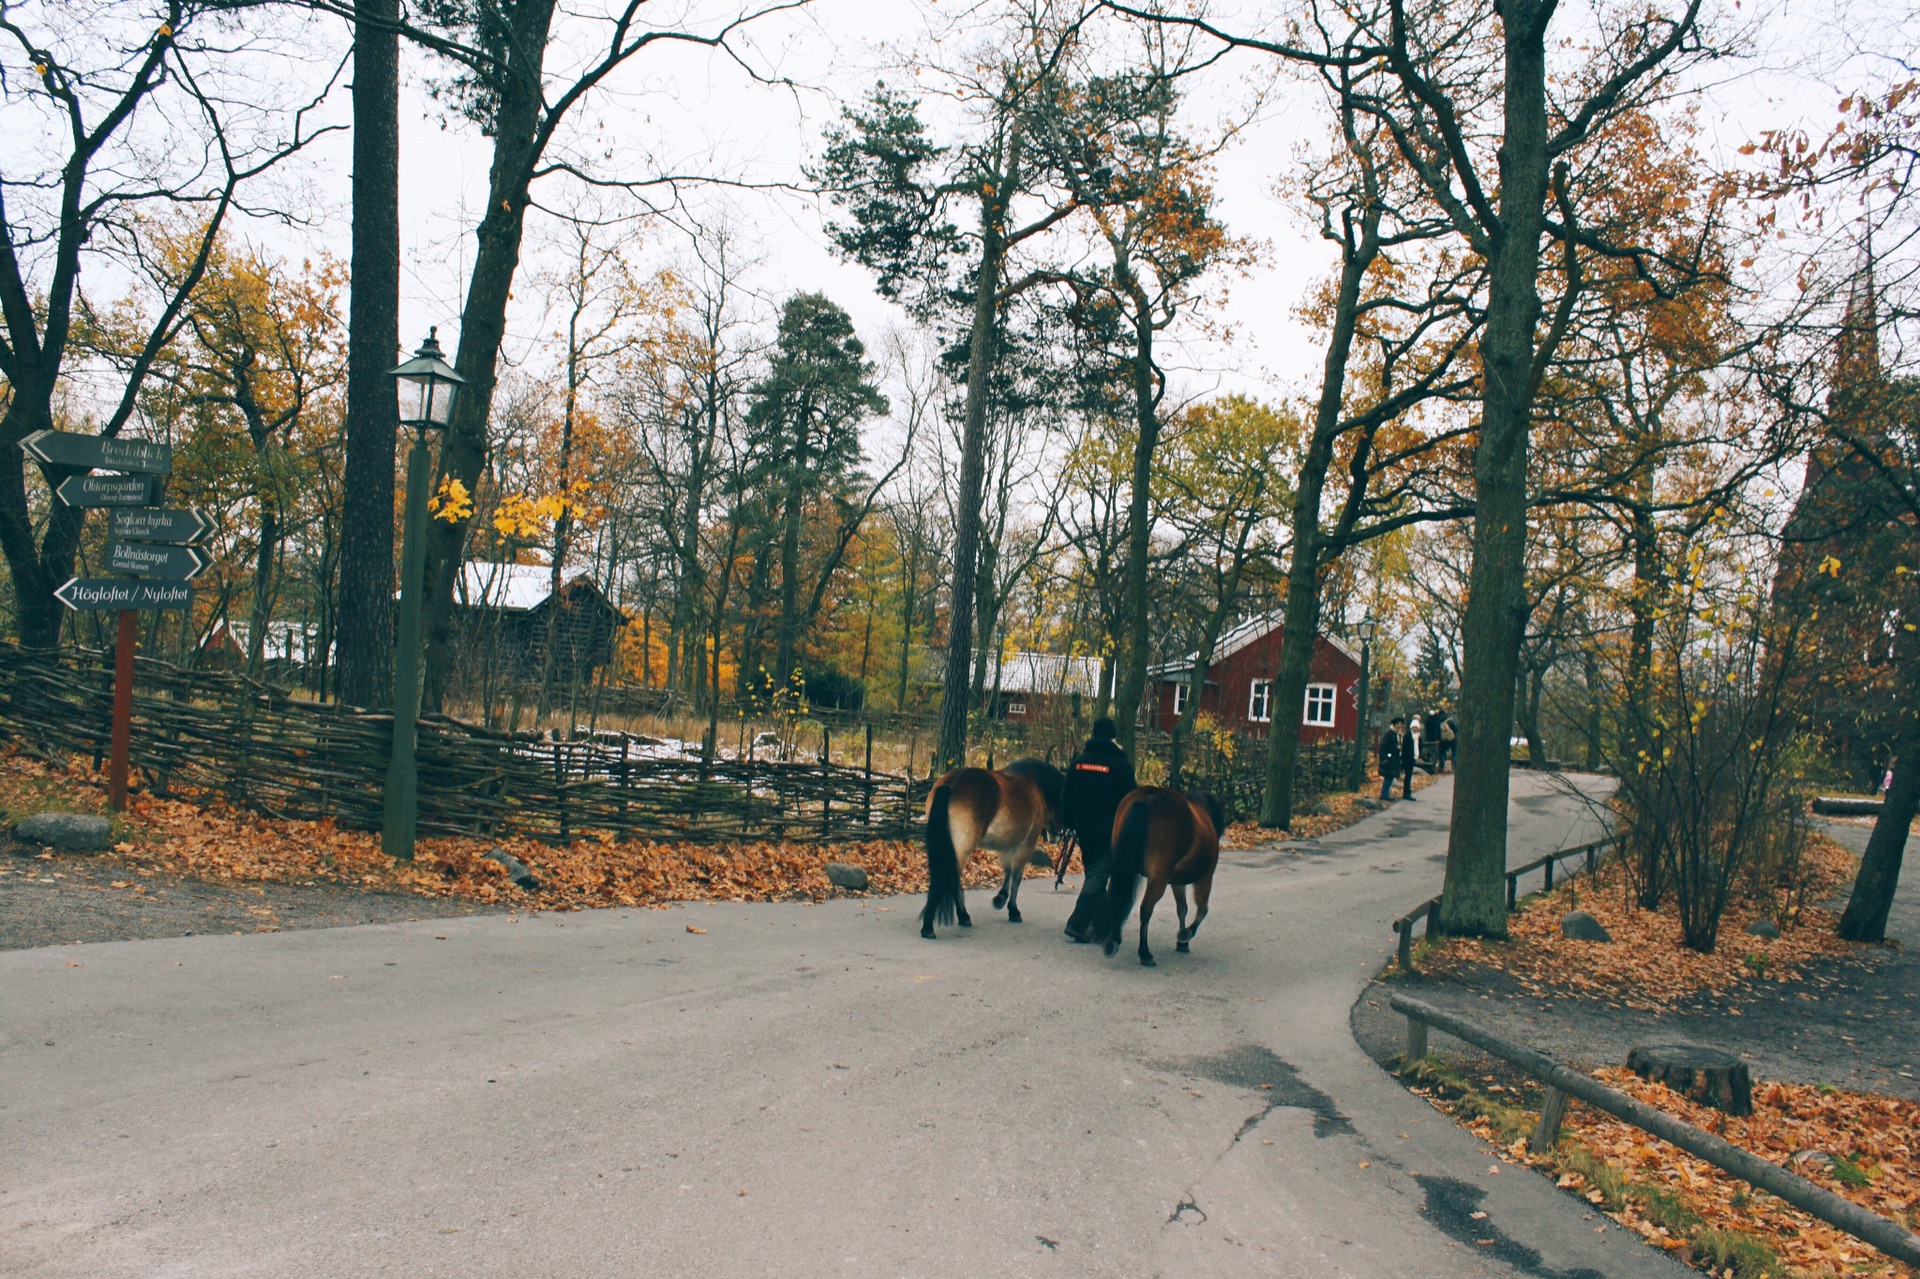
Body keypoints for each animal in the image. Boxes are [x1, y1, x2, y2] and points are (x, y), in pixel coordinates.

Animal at [917, 756, 1067, 937]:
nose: (1056, 836)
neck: (1035, 785)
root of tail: (951, 783)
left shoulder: (1006, 846)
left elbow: (1008, 873)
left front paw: (1000, 899)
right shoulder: (1025, 845)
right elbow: (1016, 877)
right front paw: (1013, 910)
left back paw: (960, 917)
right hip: (962, 850)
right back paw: (933, 924)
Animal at [1090, 783, 1221, 960]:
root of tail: (1146, 799)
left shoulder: (1176, 881)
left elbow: (1182, 908)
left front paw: (1182, 942)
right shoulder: (1205, 877)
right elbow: (1202, 910)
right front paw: (1185, 935)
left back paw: (1113, 940)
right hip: (1158, 877)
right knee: (1146, 909)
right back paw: (1144, 952)